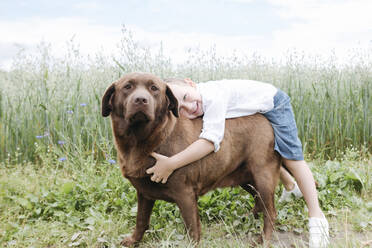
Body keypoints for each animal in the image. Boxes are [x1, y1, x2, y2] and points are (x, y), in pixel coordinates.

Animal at [100, 72, 280, 246]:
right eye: (127, 86)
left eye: (154, 88)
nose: (141, 100)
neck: (143, 140)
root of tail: (267, 120)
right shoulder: (144, 193)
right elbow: (141, 220)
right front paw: (133, 240)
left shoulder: (185, 194)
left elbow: (192, 229)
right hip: (246, 179)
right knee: (259, 201)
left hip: (262, 175)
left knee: (270, 212)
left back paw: (264, 239)